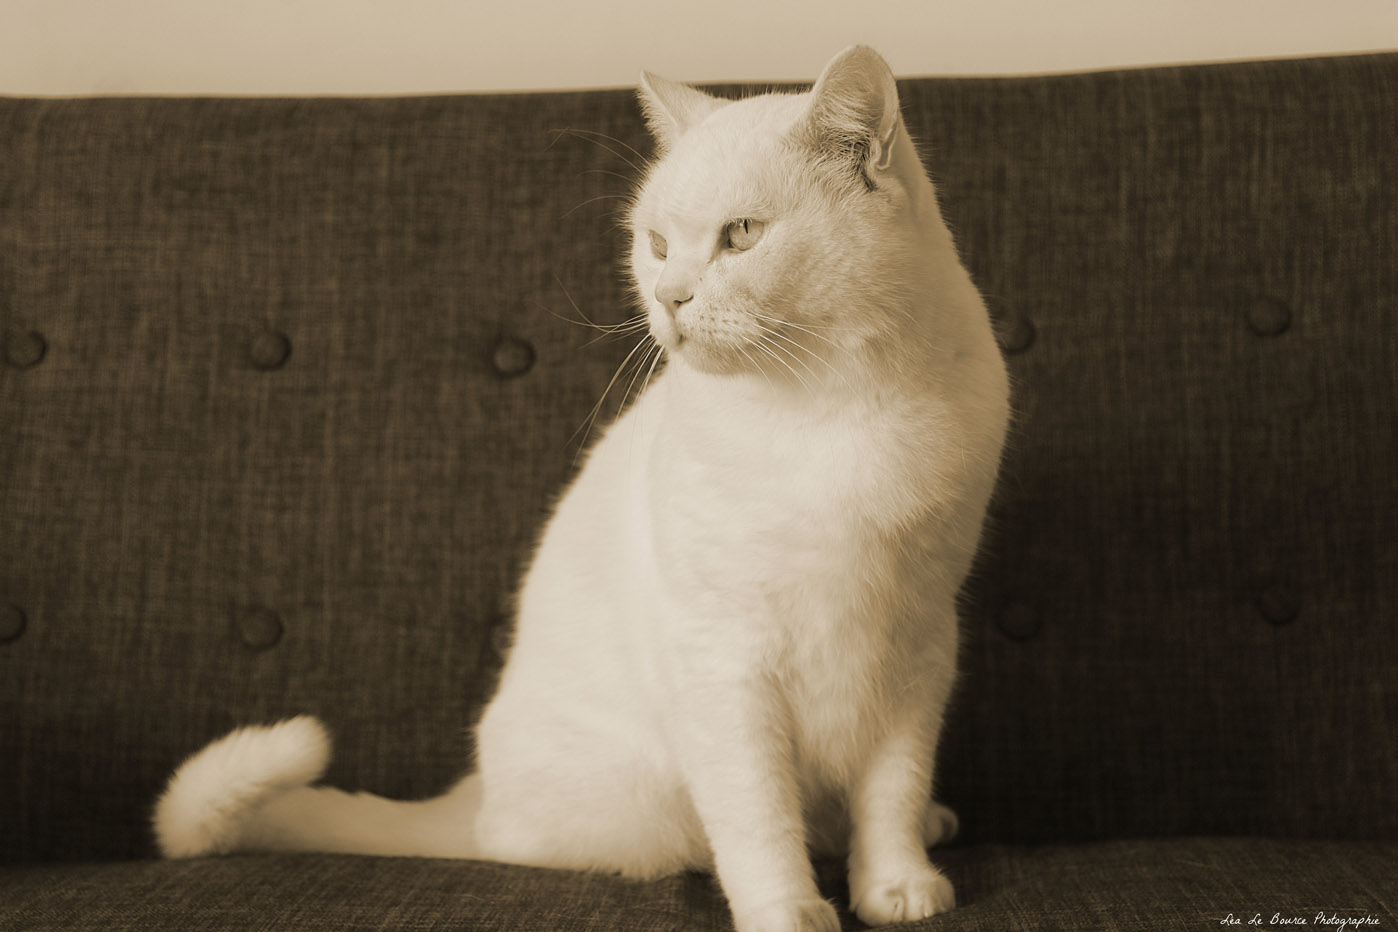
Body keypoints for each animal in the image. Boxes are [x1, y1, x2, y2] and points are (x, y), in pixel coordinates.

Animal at [155, 45, 1006, 932]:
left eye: (740, 235)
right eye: (656, 243)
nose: (669, 298)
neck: (833, 410)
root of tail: (475, 798)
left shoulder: (918, 648)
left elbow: (891, 793)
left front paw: (898, 888)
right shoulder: (725, 661)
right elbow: (761, 817)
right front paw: (789, 911)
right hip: (644, 800)